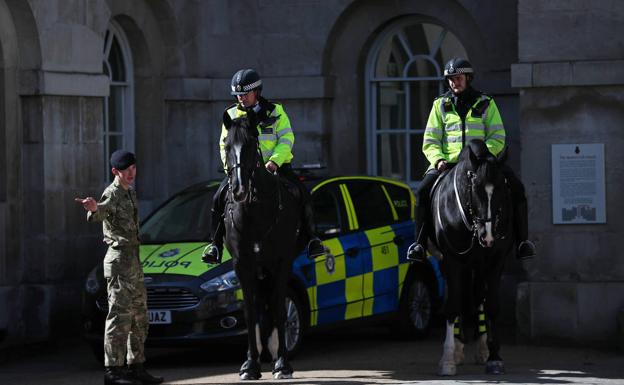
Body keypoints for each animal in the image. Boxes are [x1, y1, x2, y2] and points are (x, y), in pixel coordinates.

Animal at [222, 113, 304, 378]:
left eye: (249, 145)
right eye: (227, 146)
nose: (239, 189)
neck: (255, 213)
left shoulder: (281, 263)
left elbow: (280, 310)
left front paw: (283, 364)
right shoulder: (242, 265)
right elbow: (249, 314)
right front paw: (250, 364)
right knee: (260, 309)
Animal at [432, 139, 516, 376]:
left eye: (502, 189)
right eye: (475, 189)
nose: (487, 236)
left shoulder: (496, 260)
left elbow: (492, 305)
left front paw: (494, 357)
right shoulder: (452, 260)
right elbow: (452, 306)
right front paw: (448, 360)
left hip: (478, 265)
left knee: (477, 297)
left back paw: (481, 349)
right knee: (459, 296)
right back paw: (457, 350)